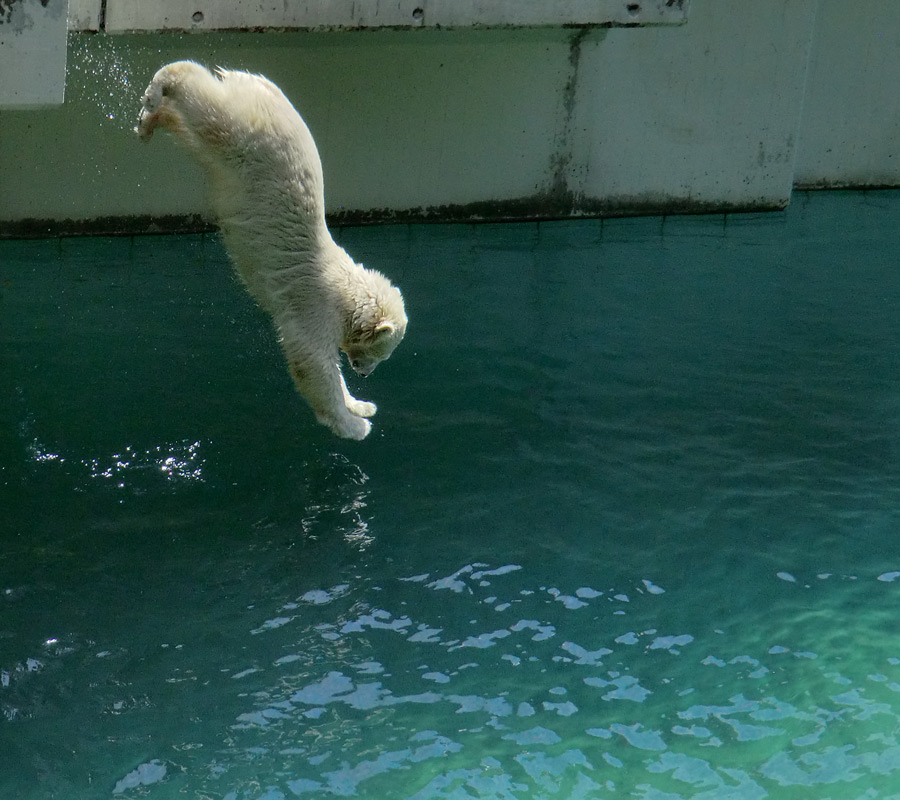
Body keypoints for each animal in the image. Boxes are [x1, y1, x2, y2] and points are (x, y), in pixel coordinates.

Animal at [134, 59, 408, 440]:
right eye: (380, 352)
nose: (365, 373)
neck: (347, 291)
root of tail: (255, 81)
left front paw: (362, 405)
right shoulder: (315, 305)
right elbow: (313, 362)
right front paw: (355, 425)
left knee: (193, 132)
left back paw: (149, 122)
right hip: (249, 137)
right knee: (207, 109)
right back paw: (160, 89)